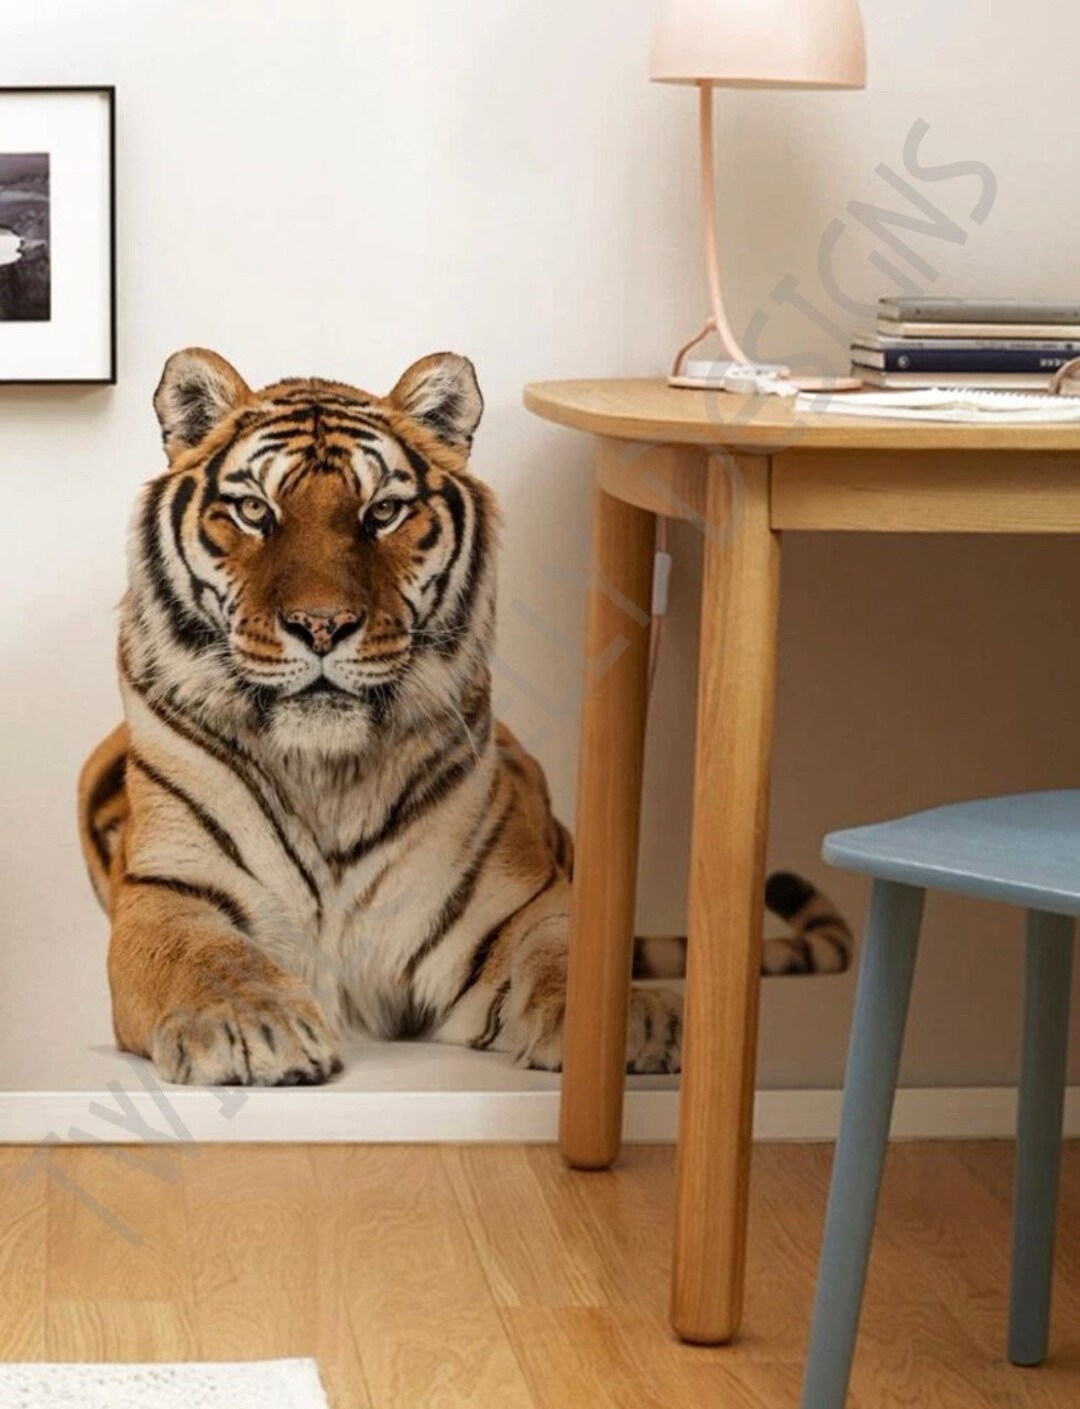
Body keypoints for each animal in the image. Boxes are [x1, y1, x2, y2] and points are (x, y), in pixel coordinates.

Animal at [77, 348, 851, 1087]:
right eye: (254, 511)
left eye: (382, 512)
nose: (323, 625)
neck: (327, 776)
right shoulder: (170, 891)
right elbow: (204, 954)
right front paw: (250, 1026)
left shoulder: (518, 901)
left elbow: (571, 953)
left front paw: (628, 1022)